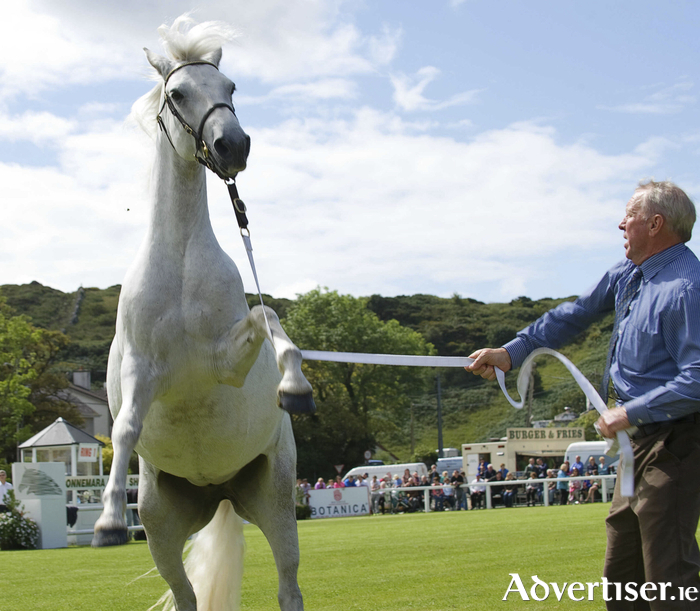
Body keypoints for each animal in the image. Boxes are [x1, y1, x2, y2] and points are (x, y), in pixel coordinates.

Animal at [91, 17, 314, 611]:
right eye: (177, 94)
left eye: (230, 88)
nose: (231, 144)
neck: (181, 269)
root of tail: (220, 491)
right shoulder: (143, 371)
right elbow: (124, 427)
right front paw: (107, 520)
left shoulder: (225, 363)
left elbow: (268, 317)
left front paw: (295, 387)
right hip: (161, 527)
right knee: (187, 596)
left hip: (277, 504)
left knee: (289, 589)